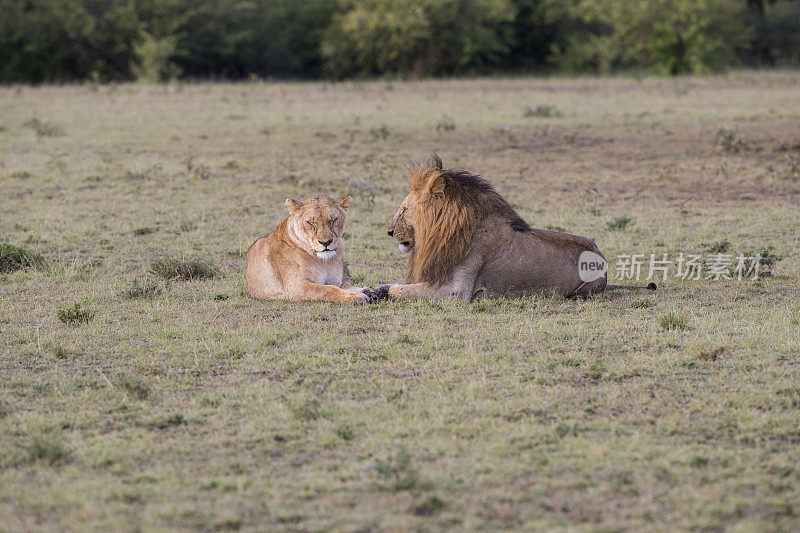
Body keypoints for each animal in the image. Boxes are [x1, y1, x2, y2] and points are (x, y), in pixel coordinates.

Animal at [382, 155, 656, 300]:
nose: (390, 231)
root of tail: (601, 255)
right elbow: (395, 284)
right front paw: (376, 289)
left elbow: (398, 290)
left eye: (404, 210)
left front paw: (380, 294)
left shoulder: (456, 291)